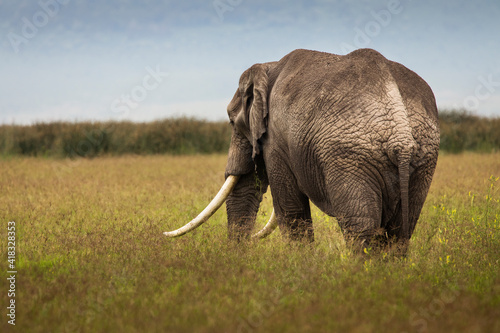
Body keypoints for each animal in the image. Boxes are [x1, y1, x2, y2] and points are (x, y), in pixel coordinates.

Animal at [166, 48, 440, 252]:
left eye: (233, 122)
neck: (269, 67)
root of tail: (401, 132)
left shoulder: (276, 140)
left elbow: (290, 209)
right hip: (423, 158)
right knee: (400, 232)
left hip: (350, 158)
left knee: (361, 229)